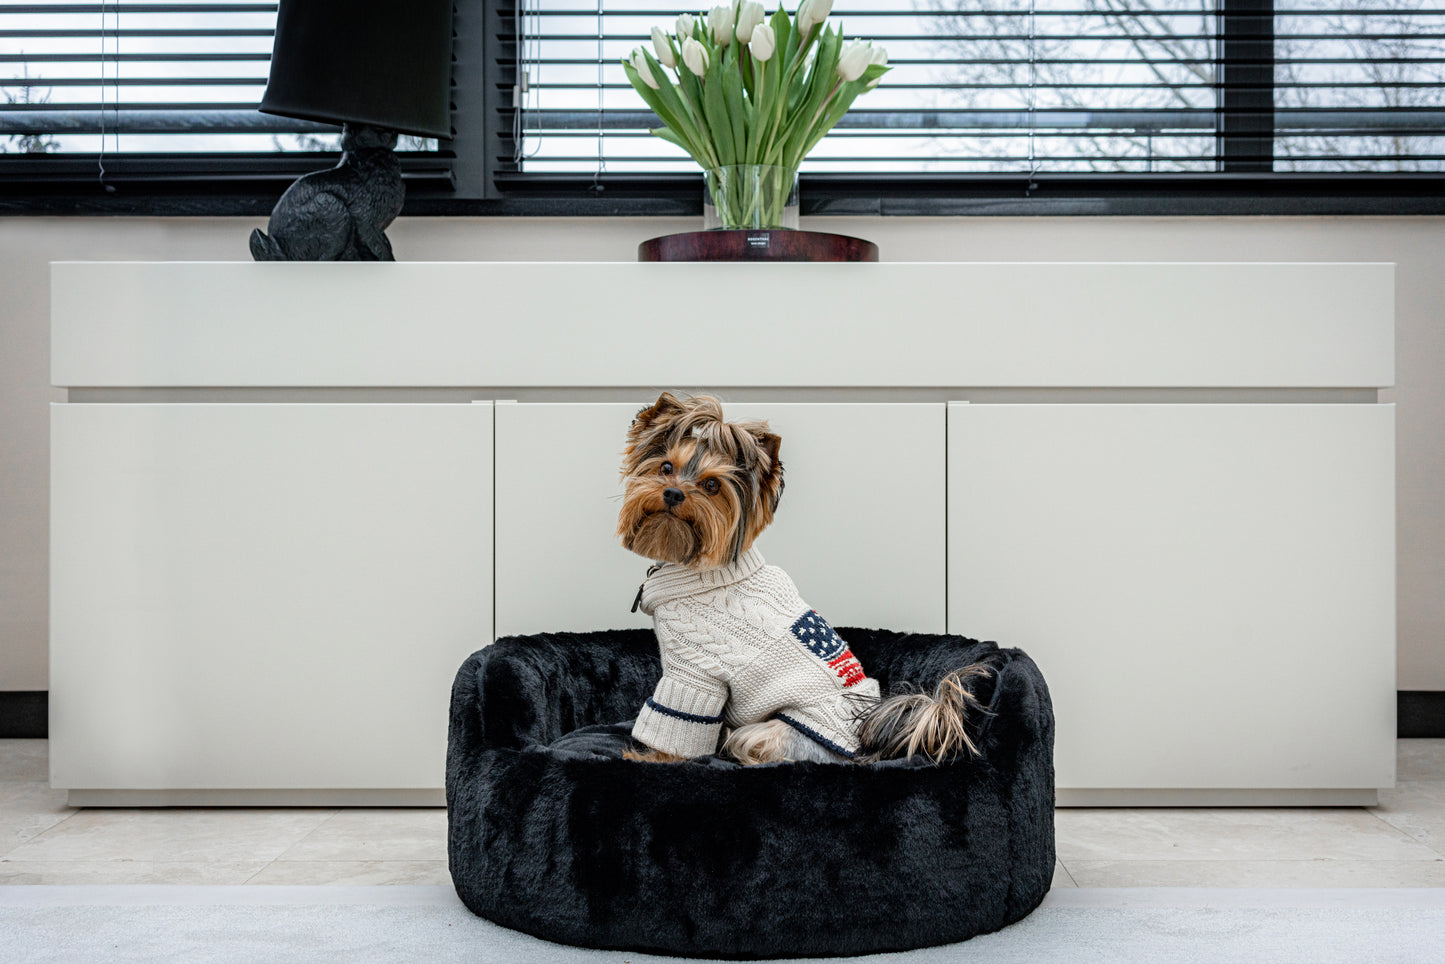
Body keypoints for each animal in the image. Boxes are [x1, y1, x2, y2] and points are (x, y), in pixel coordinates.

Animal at [615, 393, 988, 768]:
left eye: (711, 485)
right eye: (665, 468)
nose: (673, 493)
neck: (701, 569)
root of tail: (863, 744)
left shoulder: (695, 675)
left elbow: (679, 724)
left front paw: (650, 757)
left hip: (771, 733)